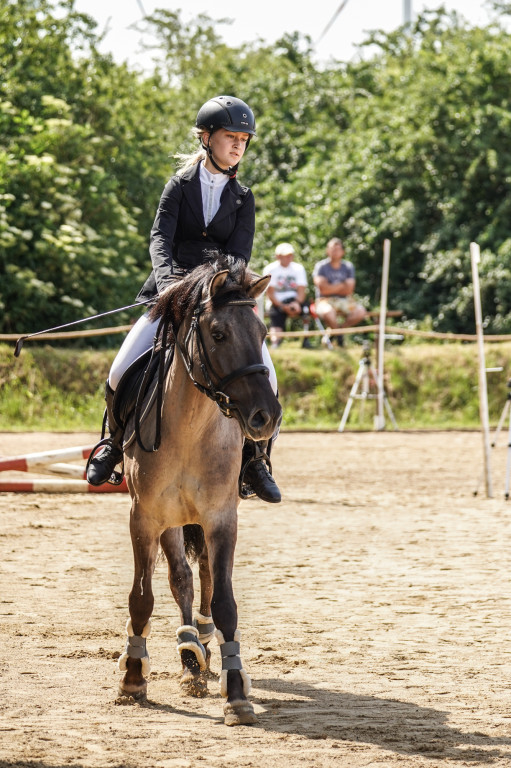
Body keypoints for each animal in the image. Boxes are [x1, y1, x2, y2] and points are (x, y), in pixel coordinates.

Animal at [116, 258, 282, 728]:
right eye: (219, 333)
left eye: (263, 333)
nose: (266, 417)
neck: (190, 427)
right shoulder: (145, 517)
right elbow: (142, 597)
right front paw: (133, 677)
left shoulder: (221, 517)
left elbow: (225, 600)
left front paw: (236, 691)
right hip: (171, 521)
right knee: (182, 579)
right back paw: (190, 654)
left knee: (205, 575)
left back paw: (203, 644)